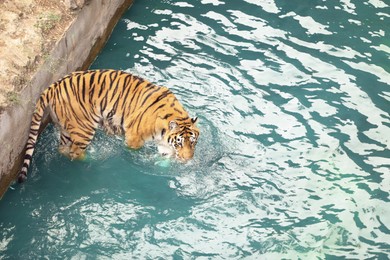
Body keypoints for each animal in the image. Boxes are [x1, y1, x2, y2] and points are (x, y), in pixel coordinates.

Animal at [18, 69, 200, 183]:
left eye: (192, 142)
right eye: (179, 142)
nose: (188, 159)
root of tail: (52, 87)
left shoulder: (164, 144)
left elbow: (165, 156)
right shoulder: (134, 137)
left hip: (67, 128)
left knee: (63, 149)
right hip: (84, 128)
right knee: (75, 152)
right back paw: (94, 158)